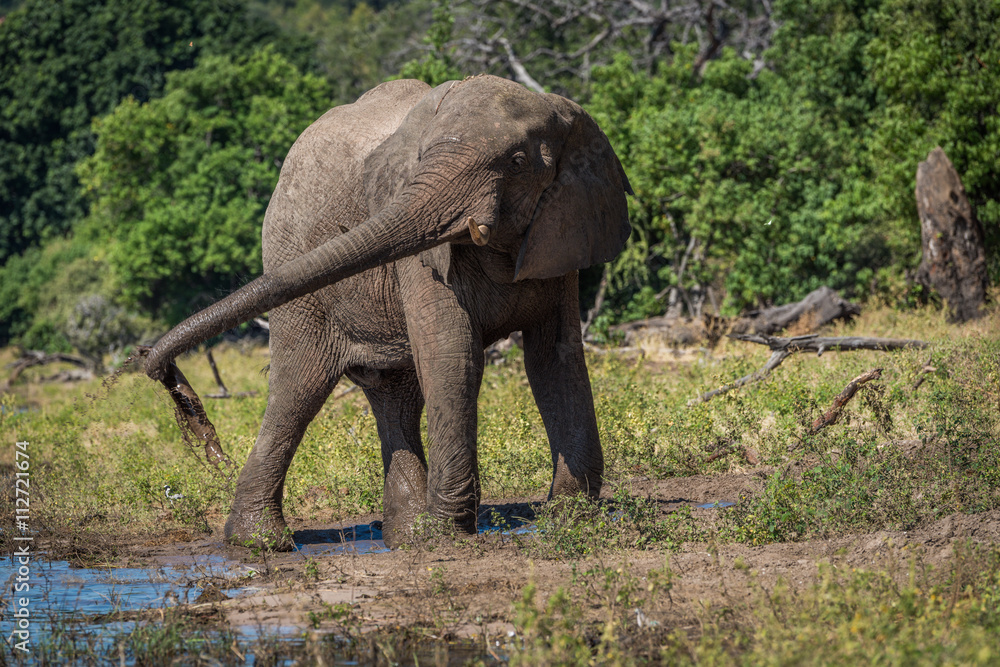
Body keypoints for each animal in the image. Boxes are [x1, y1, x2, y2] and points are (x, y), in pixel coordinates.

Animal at [143, 74, 632, 549]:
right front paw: (449, 536)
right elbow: (454, 356)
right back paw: (260, 543)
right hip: (290, 263)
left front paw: (571, 518)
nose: (157, 367)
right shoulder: (419, 257)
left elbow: (554, 357)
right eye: (422, 158)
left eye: (516, 161)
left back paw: (407, 538)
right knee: (298, 388)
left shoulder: (560, 230)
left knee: (395, 393)